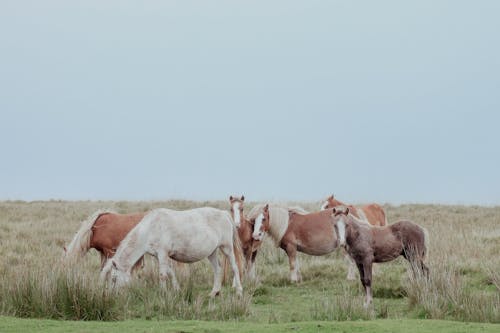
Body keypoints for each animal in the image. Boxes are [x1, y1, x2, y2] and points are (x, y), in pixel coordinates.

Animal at [100, 205, 244, 296]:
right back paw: (214, 292)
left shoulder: (163, 254)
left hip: (227, 248)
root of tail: (224, 213)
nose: (112, 296)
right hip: (212, 252)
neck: (150, 228)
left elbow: (163, 275)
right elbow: (170, 272)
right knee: (218, 269)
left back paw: (239, 291)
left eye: (113, 279)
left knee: (235, 267)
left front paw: (163, 294)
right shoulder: (160, 256)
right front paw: (177, 289)